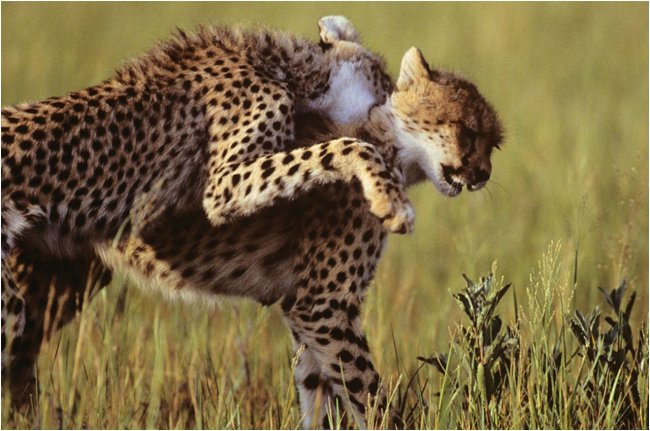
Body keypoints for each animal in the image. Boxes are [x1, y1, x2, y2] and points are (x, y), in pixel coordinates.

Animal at [1, 17, 502, 429]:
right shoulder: (319, 298)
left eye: (493, 144)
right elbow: (368, 393)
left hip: (58, 287)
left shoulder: (306, 311)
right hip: (11, 310)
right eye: (466, 130)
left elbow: (319, 393)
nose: (482, 175)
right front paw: (387, 196)